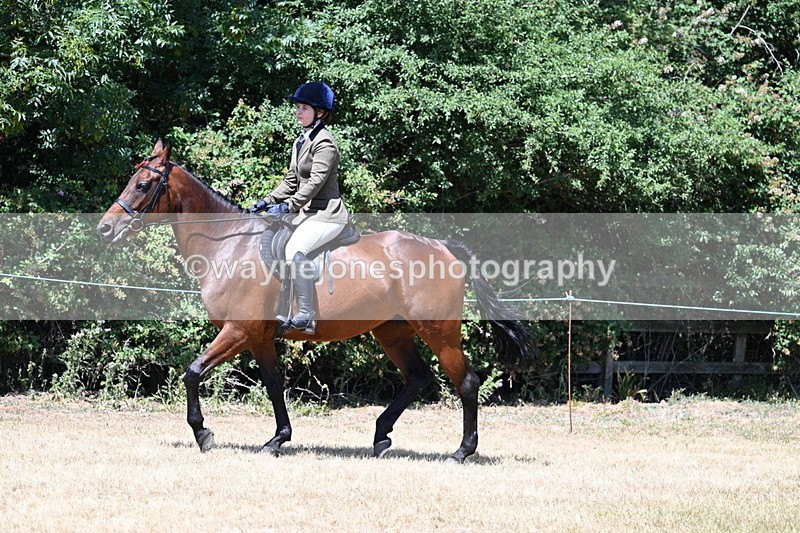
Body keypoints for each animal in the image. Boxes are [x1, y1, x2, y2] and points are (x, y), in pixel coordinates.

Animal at [97, 139, 537, 463]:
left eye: (142, 185)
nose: (105, 229)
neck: (229, 244)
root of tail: (443, 247)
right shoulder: (258, 337)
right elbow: (275, 384)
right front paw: (277, 440)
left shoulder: (237, 331)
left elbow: (191, 373)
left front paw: (204, 434)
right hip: (392, 332)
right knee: (418, 377)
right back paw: (380, 437)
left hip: (438, 331)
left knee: (465, 382)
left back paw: (461, 451)